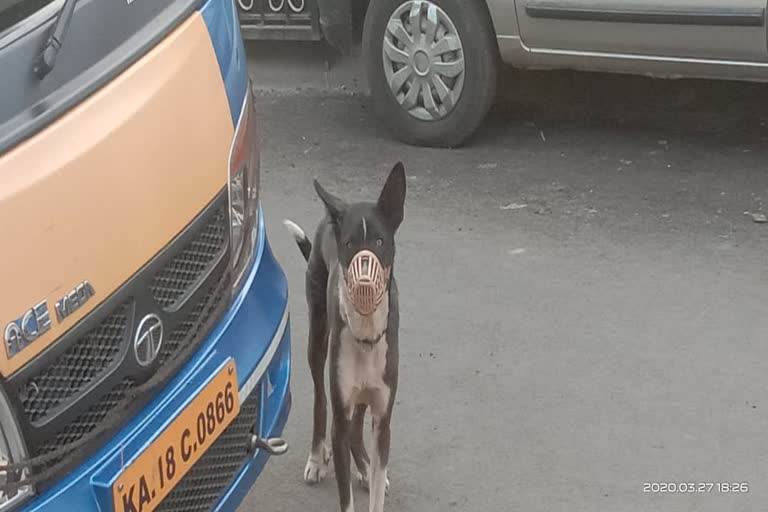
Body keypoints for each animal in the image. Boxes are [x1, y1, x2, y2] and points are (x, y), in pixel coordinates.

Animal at [284, 163, 408, 512]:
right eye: (351, 244)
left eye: (379, 240)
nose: (364, 279)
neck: (365, 331)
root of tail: (332, 215)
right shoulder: (340, 419)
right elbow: (346, 497)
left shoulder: (383, 421)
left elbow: (377, 491)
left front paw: (370, 473)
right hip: (318, 338)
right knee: (320, 399)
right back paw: (316, 457)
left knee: (356, 426)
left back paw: (364, 467)